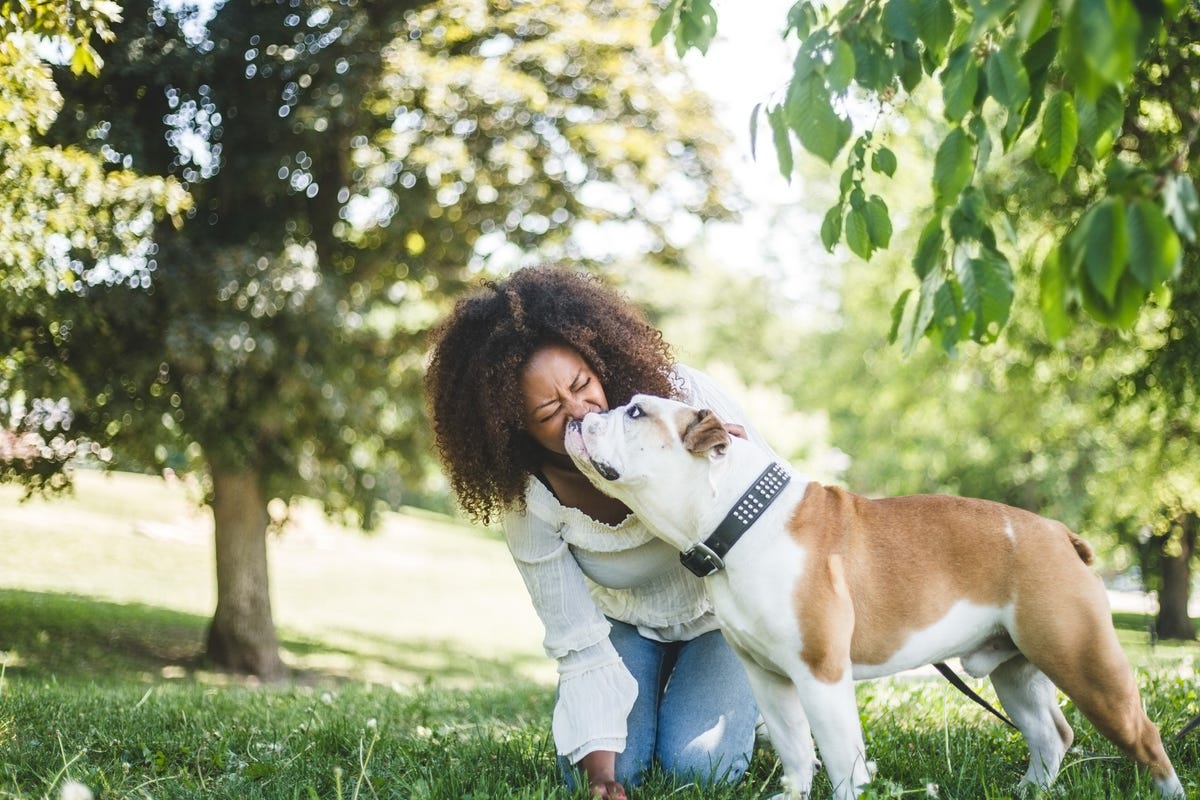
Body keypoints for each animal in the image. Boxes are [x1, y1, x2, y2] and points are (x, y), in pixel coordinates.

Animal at [561, 395, 1180, 800]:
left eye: (635, 413)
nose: (580, 416)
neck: (738, 520)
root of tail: (1057, 532)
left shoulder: (821, 674)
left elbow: (840, 758)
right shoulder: (769, 679)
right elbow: (794, 748)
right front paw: (792, 793)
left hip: (1085, 661)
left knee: (1143, 736)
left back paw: (1167, 788)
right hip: (1017, 671)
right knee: (1052, 735)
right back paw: (1029, 790)